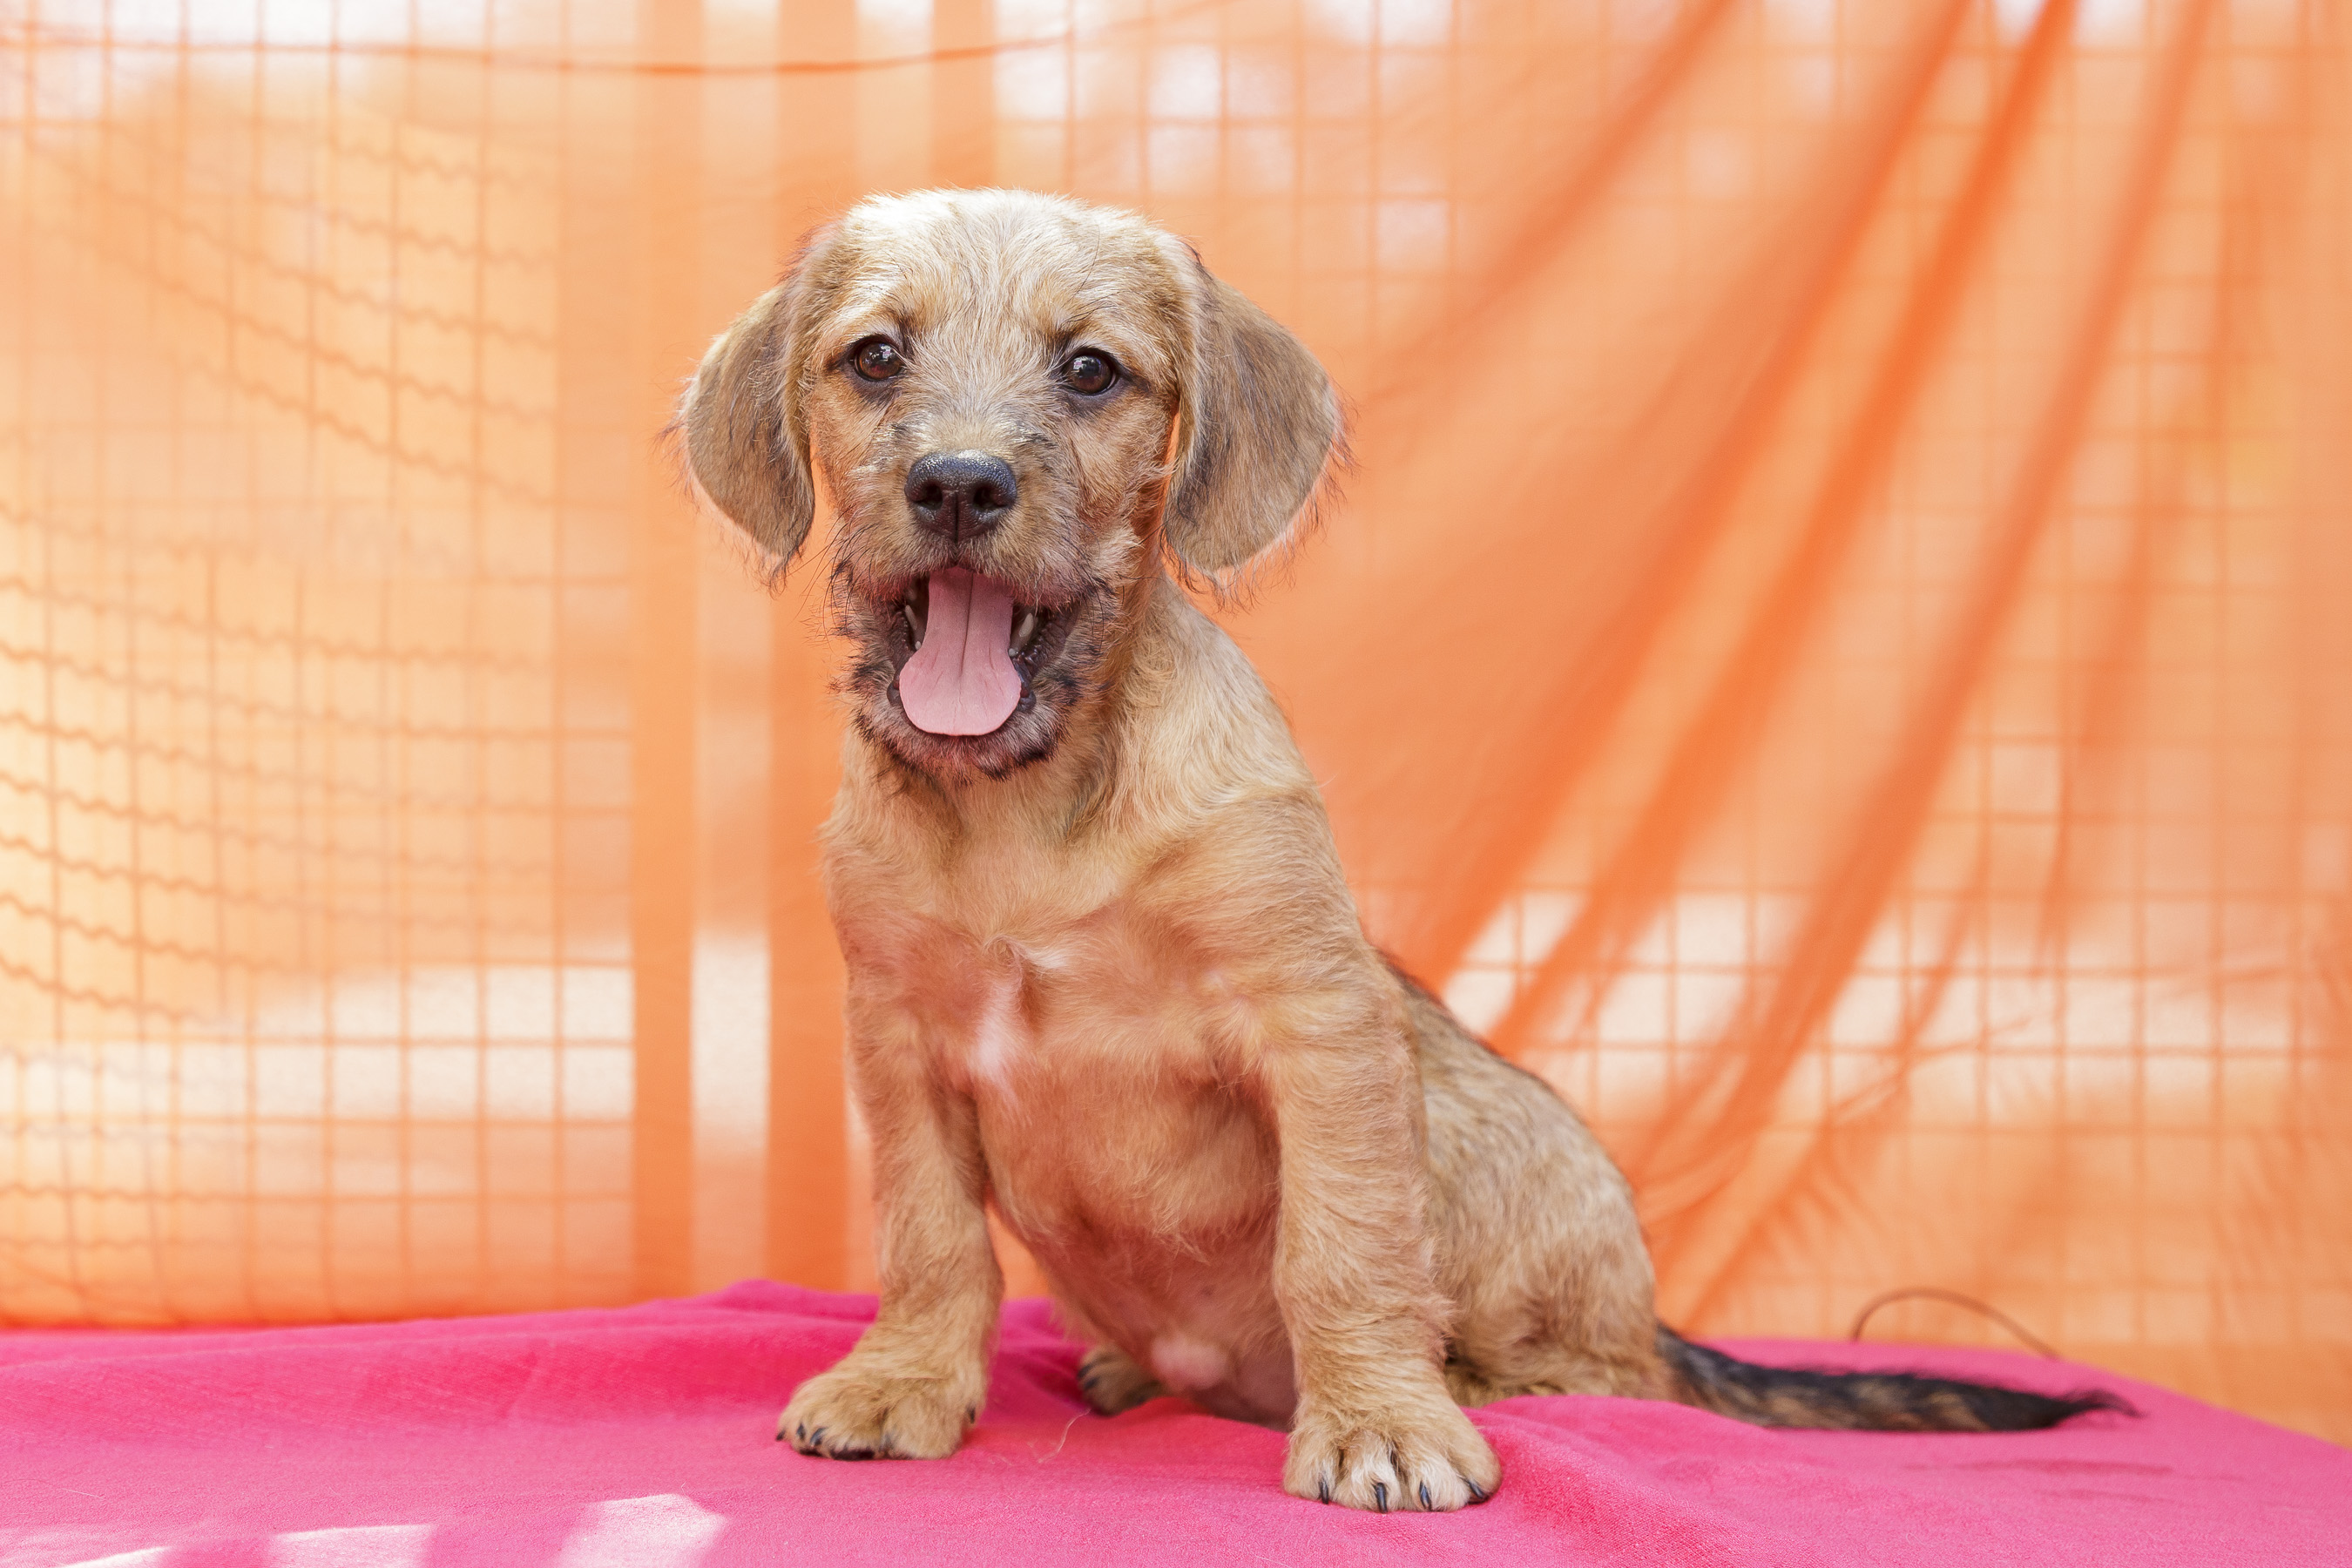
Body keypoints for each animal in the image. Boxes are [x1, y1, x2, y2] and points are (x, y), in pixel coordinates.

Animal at [682, 190, 2135, 1513]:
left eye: (1089, 370)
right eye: (876, 357)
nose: (961, 483)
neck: (1024, 805)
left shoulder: (1319, 1026)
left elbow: (1346, 1246)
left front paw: (1379, 1420)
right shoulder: (901, 1046)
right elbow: (931, 1242)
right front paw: (905, 1382)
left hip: (1522, 1153)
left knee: (1612, 1377)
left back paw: (1475, 1384)